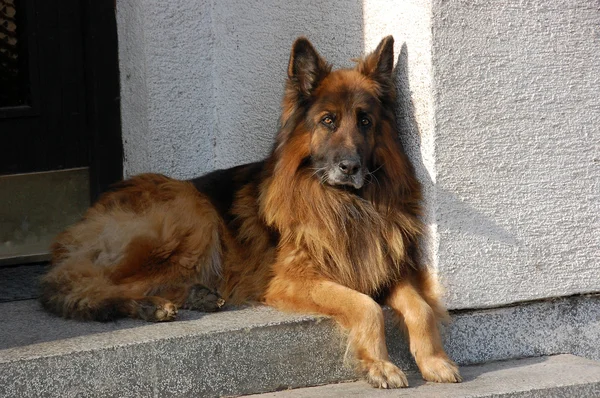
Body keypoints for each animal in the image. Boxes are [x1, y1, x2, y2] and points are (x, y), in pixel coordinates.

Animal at [39, 36, 462, 388]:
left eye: (365, 121)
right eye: (328, 121)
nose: (350, 167)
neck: (346, 204)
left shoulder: (386, 267)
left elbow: (421, 309)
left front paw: (434, 361)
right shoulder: (293, 280)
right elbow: (367, 307)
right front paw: (380, 366)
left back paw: (194, 296)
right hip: (191, 211)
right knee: (87, 285)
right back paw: (150, 305)